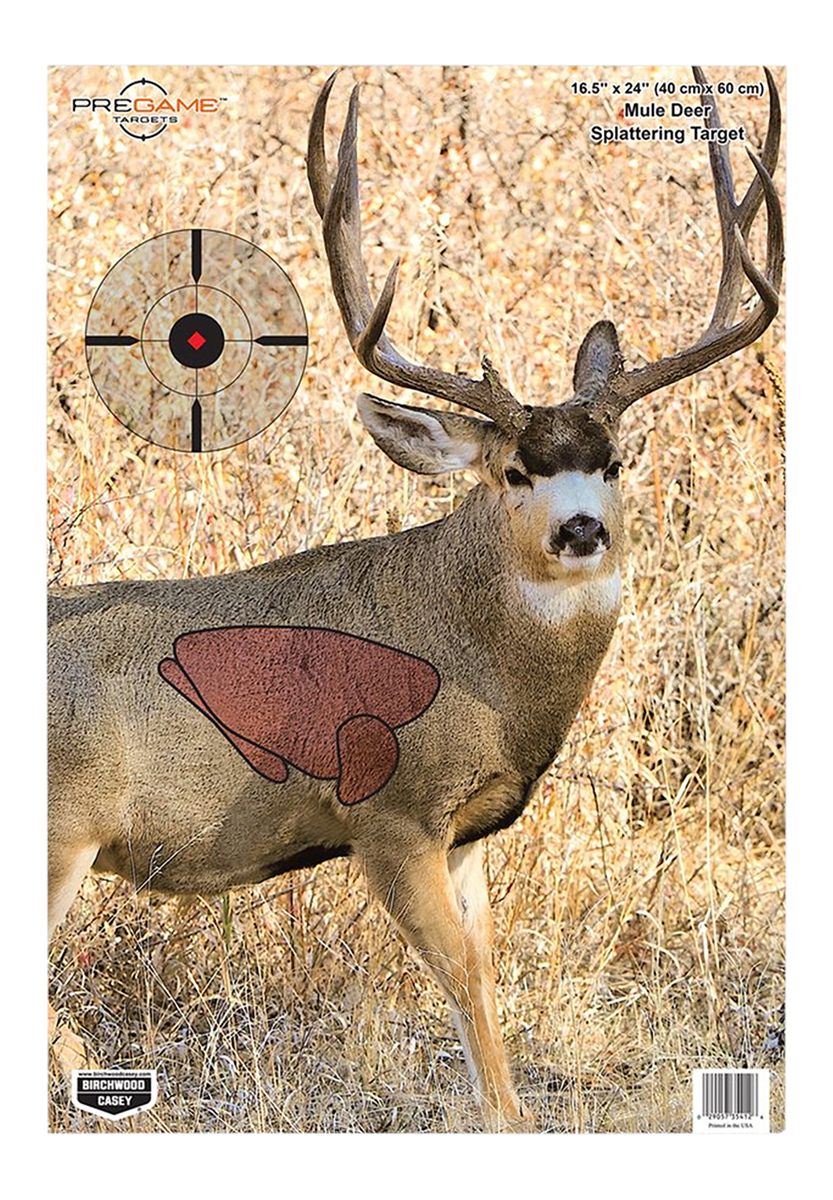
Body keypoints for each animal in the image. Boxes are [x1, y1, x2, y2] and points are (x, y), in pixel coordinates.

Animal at [48, 66, 783, 1131]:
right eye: (514, 471)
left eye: (611, 462)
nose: (581, 530)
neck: (480, 672)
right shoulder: (388, 816)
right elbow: (462, 988)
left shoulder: (467, 833)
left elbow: (486, 979)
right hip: (59, 834)